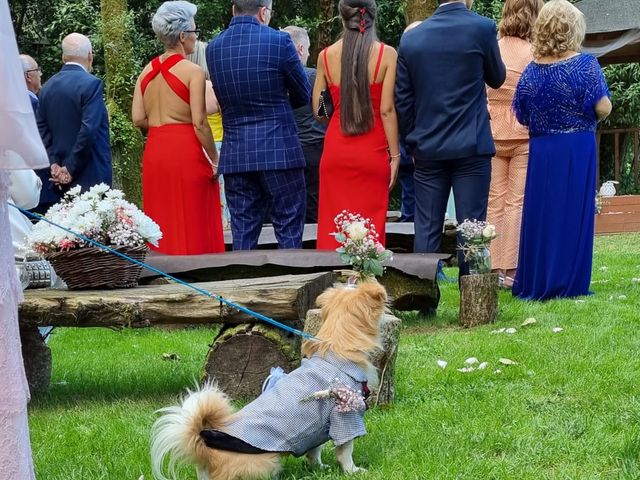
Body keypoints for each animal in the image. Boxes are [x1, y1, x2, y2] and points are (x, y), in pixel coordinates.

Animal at [152, 282, 388, 480]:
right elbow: (345, 450)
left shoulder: (318, 428)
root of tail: (205, 450)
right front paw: (353, 471)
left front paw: (318, 468)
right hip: (268, 461)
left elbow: (315, 450)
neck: (335, 351)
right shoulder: (345, 417)